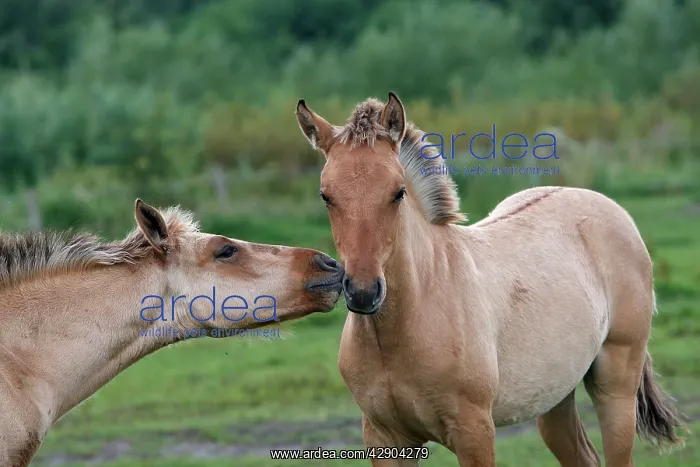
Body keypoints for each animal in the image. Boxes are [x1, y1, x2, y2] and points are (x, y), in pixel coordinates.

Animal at [295, 92, 685, 466]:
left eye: (398, 193)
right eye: (326, 196)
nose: (363, 293)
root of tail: (610, 208)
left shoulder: (475, 433)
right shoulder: (385, 438)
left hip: (616, 386)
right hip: (554, 395)